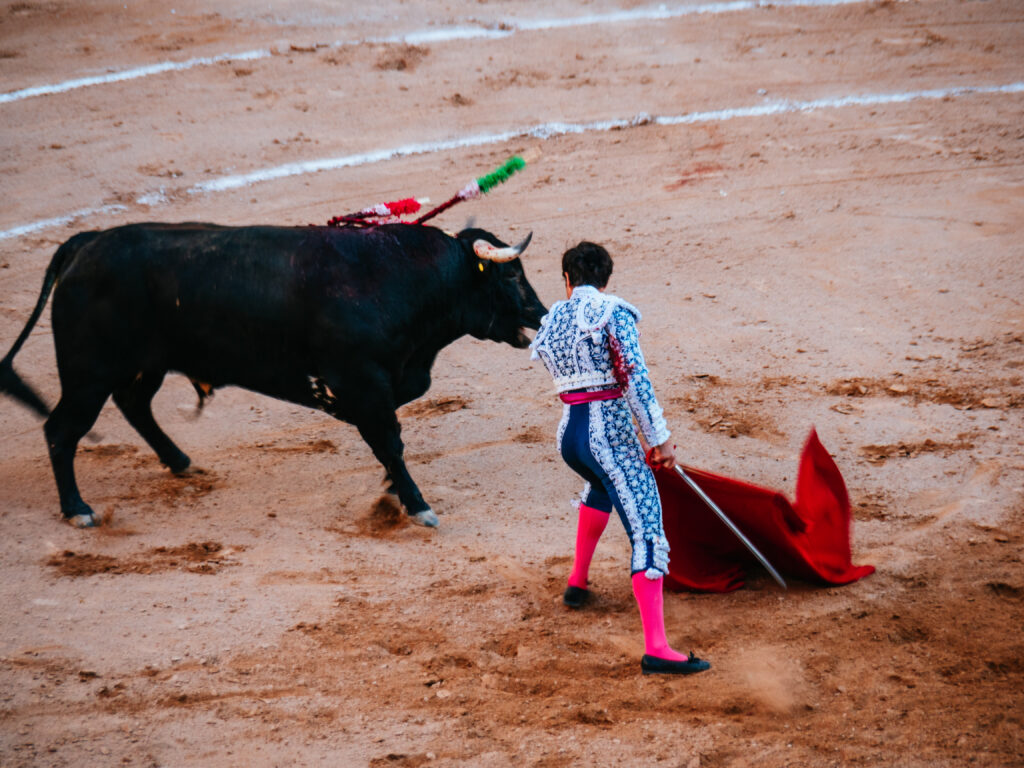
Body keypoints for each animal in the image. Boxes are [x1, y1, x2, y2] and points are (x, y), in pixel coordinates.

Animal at [0, 219, 548, 528]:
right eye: (512, 274)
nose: (542, 315)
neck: (399, 276)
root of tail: (86, 244)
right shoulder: (363, 382)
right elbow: (390, 442)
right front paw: (416, 505)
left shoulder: (381, 385)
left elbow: (388, 442)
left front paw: (391, 488)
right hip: (87, 374)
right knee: (62, 430)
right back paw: (78, 510)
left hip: (141, 365)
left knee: (134, 405)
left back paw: (181, 462)